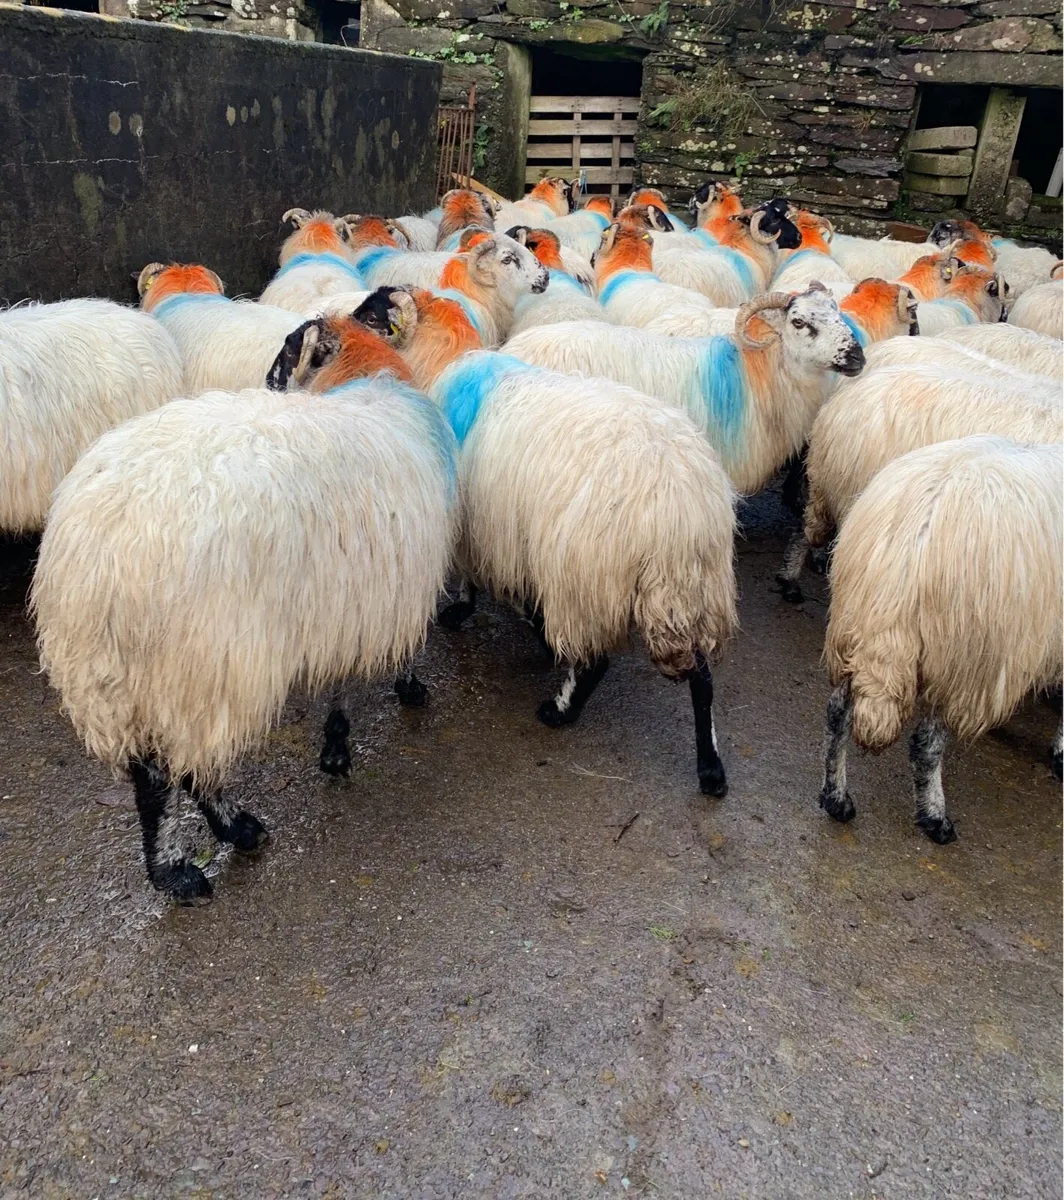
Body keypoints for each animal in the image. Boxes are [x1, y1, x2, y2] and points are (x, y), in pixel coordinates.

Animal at [31, 314, 457, 903]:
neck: (368, 378)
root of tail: (102, 551)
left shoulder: (342, 605)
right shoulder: (374, 595)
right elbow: (372, 669)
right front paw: (386, 707)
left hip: (119, 674)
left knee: (149, 774)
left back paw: (177, 861)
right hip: (206, 665)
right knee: (185, 769)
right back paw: (219, 843)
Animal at [344, 285, 739, 796]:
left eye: (371, 313)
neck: (443, 363)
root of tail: (682, 504)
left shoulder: (480, 528)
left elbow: (478, 582)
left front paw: (469, 612)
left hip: (586, 575)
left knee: (595, 661)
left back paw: (559, 710)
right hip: (692, 590)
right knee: (702, 677)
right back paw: (710, 769)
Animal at [817, 435, 1062, 843]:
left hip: (855, 628)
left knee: (838, 714)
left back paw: (837, 798)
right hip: (960, 656)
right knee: (925, 745)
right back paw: (936, 818)